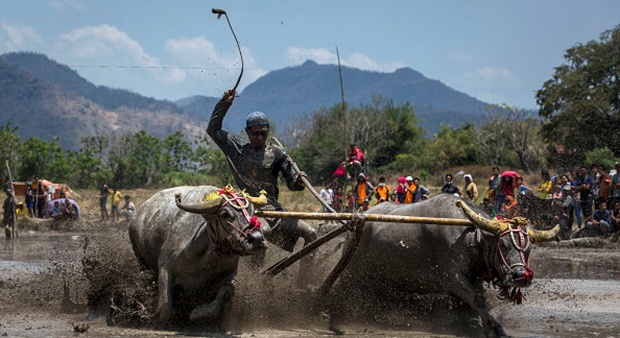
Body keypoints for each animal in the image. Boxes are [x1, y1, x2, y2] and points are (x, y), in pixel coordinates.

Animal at [128, 186, 266, 324]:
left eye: (252, 213)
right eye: (225, 214)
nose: (257, 239)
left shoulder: (230, 272)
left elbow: (221, 298)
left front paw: (196, 313)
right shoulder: (165, 268)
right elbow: (164, 309)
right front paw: (146, 314)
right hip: (140, 257)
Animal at [326, 194, 560, 336]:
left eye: (527, 249)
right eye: (502, 244)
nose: (520, 276)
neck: (470, 237)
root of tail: (358, 222)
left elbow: (472, 302)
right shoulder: (452, 277)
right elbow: (477, 298)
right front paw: (492, 327)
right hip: (353, 271)